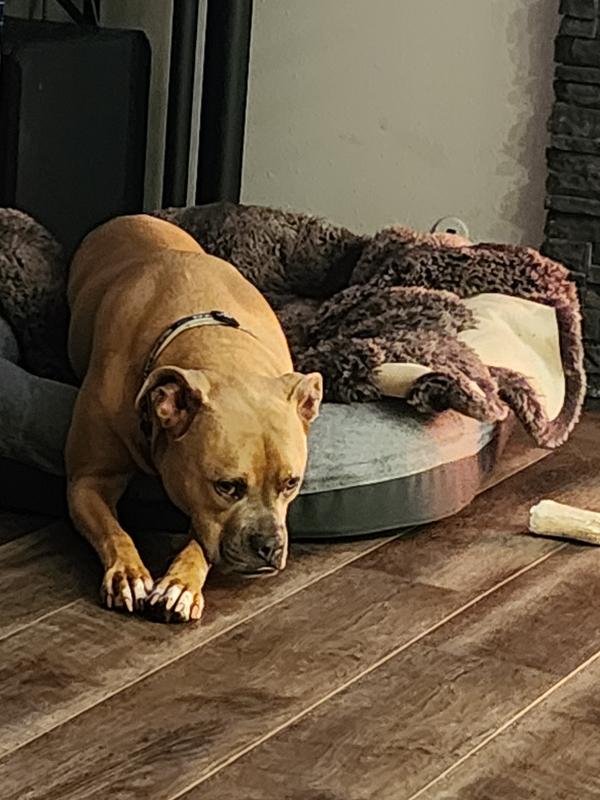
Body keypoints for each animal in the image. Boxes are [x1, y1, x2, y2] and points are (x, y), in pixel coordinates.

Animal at [64, 216, 324, 620]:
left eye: (291, 483)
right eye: (227, 486)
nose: (269, 546)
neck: (217, 349)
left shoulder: (201, 511)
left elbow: (200, 540)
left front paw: (180, 585)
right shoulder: (87, 481)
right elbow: (113, 531)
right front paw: (128, 574)